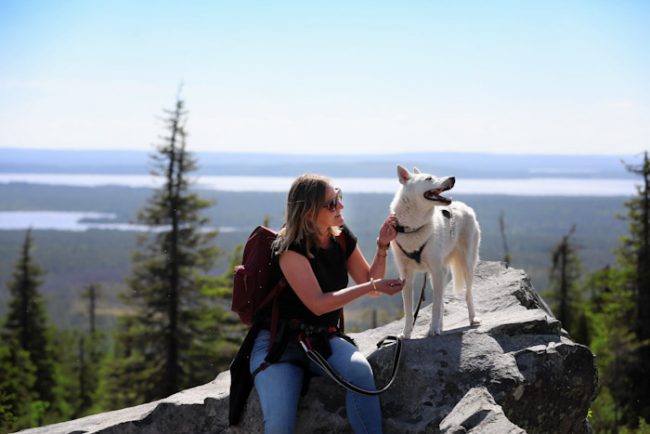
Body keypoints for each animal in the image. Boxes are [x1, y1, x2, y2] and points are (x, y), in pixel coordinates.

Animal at [388, 164, 478, 338]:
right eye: (429, 178)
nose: (453, 178)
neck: (414, 228)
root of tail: (465, 206)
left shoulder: (437, 270)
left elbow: (435, 307)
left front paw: (433, 329)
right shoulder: (406, 276)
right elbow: (408, 310)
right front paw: (406, 334)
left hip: (465, 266)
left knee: (467, 294)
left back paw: (472, 319)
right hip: (436, 275)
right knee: (442, 300)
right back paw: (441, 327)